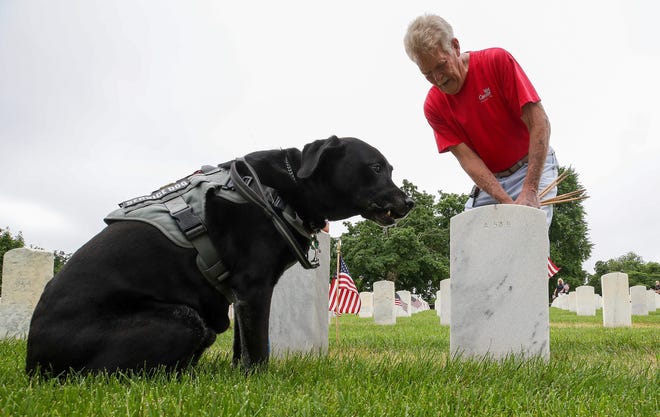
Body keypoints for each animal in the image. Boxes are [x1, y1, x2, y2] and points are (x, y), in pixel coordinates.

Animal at [28, 136, 416, 374]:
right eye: (376, 167)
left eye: (390, 170)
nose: (410, 202)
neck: (286, 187)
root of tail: (33, 363)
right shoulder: (254, 286)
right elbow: (257, 347)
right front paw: (257, 381)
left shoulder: (242, 294)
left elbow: (241, 344)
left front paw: (236, 376)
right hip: (185, 319)